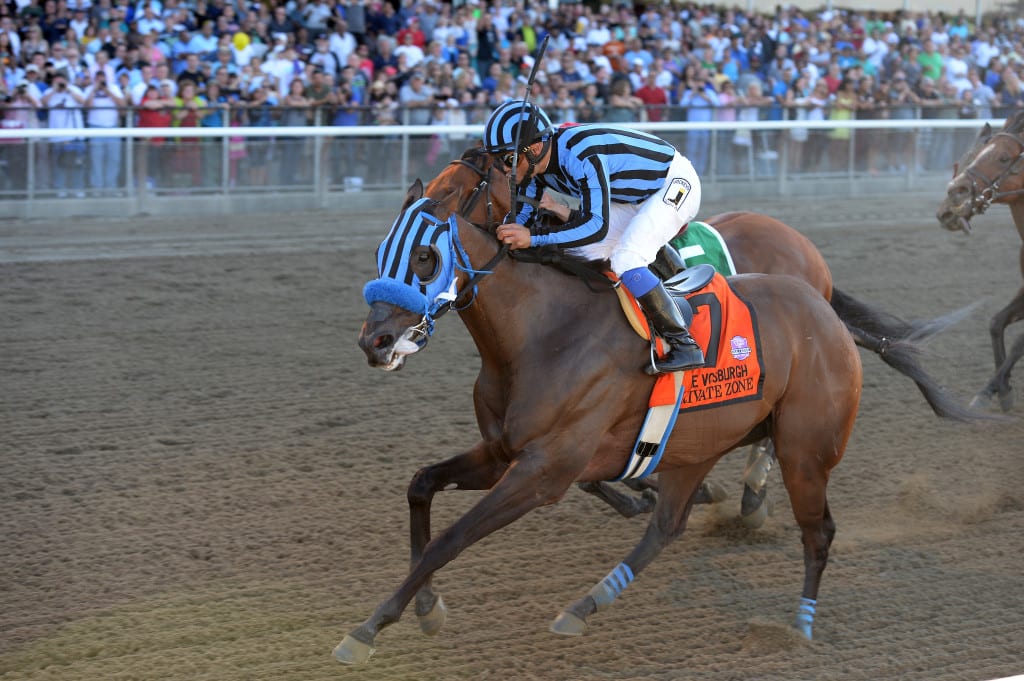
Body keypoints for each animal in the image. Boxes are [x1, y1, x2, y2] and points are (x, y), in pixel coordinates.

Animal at [339, 188, 860, 659]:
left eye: (425, 257)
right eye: (382, 252)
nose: (374, 341)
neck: (545, 334)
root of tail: (823, 308)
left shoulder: (543, 472)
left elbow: (451, 538)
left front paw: (369, 628)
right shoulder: (500, 454)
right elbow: (421, 485)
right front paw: (425, 606)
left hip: (804, 450)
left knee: (818, 531)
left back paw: (799, 626)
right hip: (698, 445)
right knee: (666, 527)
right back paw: (585, 604)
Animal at [937, 111, 1024, 409]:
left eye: (1003, 157)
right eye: (972, 156)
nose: (955, 191)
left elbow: (1020, 340)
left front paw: (989, 391)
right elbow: (996, 322)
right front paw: (999, 389)